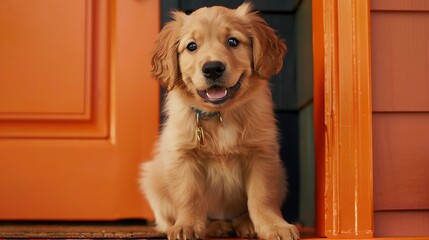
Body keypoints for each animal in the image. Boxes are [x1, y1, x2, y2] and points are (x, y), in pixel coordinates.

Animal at [140, 2, 298, 240]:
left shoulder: (261, 155)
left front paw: (274, 225)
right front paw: (187, 226)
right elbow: (190, 196)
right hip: (152, 178)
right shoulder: (184, 156)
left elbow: (262, 197)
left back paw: (245, 223)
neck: (221, 115)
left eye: (233, 41)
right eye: (191, 46)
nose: (212, 68)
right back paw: (215, 226)